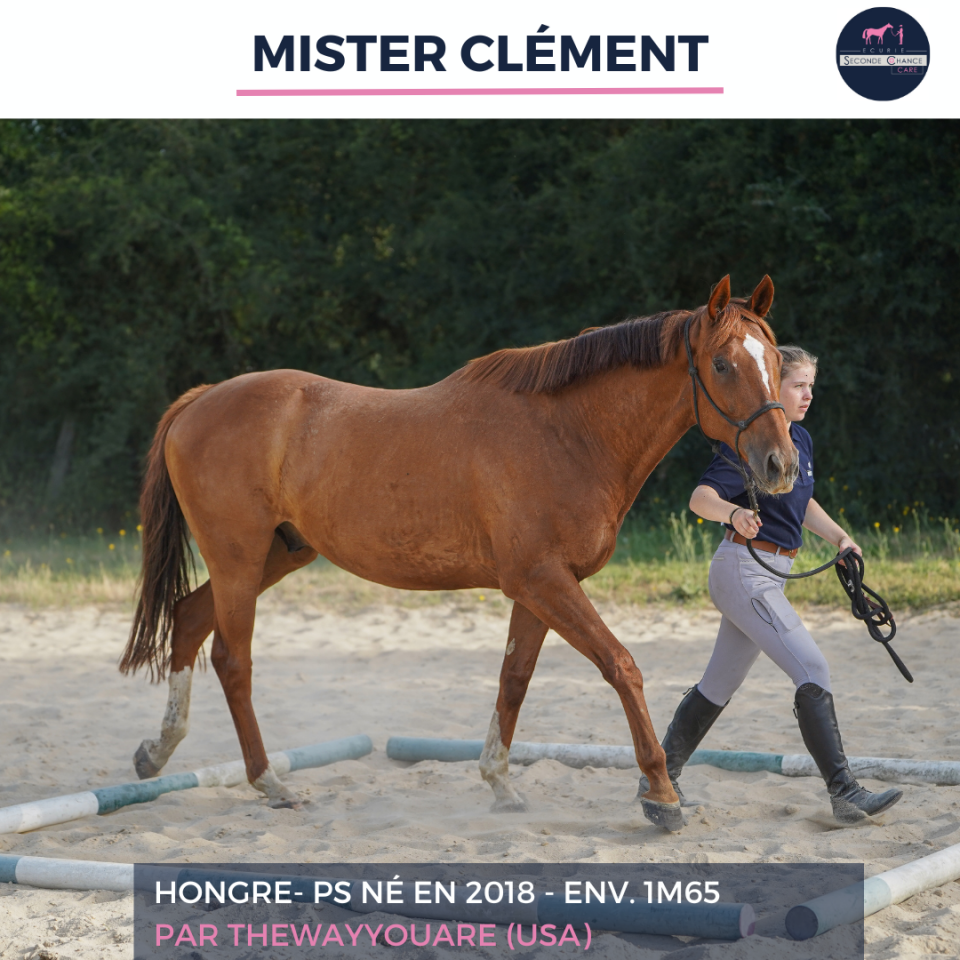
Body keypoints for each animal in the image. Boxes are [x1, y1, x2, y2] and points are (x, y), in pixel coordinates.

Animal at [120, 274, 798, 832]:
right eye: (723, 364)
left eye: (773, 360)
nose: (781, 465)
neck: (568, 434)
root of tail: (201, 399)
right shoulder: (544, 580)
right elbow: (622, 666)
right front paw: (660, 795)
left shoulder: (541, 586)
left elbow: (514, 678)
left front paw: (501, 785)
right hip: (239, 559)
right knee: (232, 660)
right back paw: (271, 784)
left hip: (276, 556)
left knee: (188, 618)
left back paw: (157, 752)